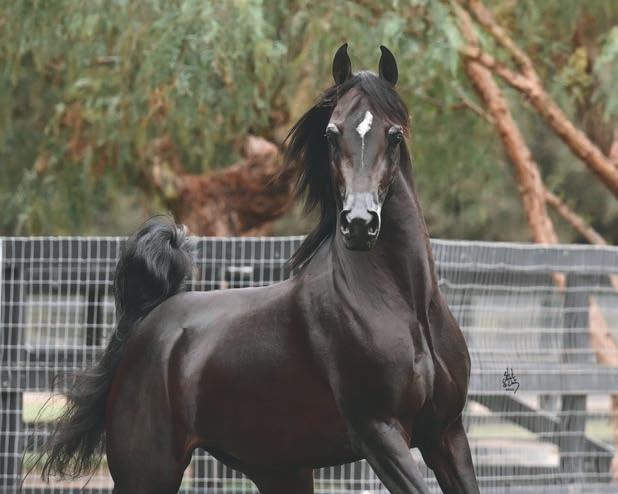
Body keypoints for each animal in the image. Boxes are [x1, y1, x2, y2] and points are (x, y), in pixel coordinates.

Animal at [40, 44, 480, 494]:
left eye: (394, 135)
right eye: (331, 133)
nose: (359, 223)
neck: (402, 304)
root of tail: (148, 322)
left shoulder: (446, 433)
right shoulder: (380, 434)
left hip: (279, 469)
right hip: (149, 471)